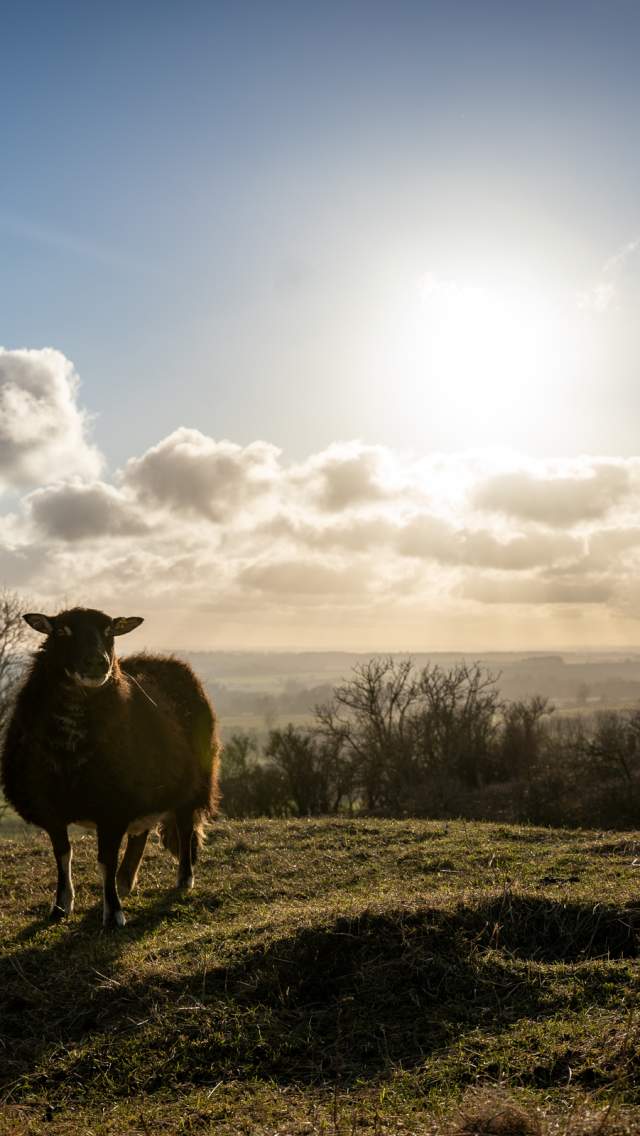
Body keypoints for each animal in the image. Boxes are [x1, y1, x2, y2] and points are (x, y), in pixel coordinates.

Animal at [1, 607, 220, 928]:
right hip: (146, 788)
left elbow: (105, 861)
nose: (97, 662)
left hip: (192, 783)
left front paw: (113, 913)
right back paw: (126, 880)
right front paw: (60, 907)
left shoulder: (112, 809)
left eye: (109, 632)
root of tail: (166, 660)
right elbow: (62, 856)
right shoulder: (52, 810)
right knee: (140, 833)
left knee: (184, 826)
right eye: (61, 631)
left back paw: (183, 879)